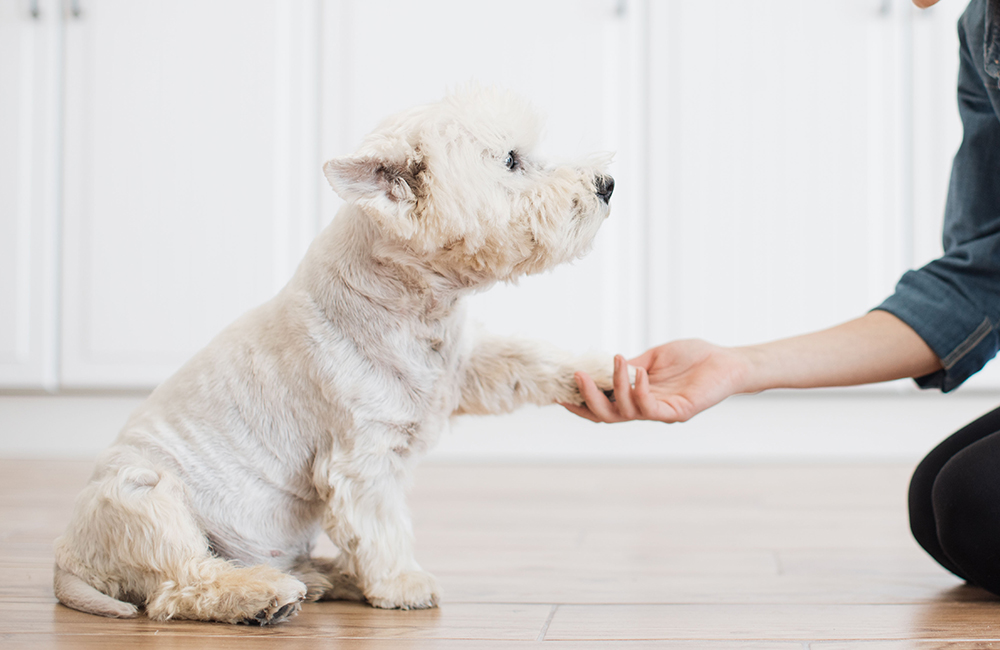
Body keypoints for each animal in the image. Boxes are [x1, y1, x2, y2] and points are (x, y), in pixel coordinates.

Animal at [54, 87, 620, 624]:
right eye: (510, 160)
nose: (607, 184)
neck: (415, 305)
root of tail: (69, 561)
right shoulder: (361, 455)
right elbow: (380, 524)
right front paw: (403, 583)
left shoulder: (465, 368)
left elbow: (525, 360)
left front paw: (602, 376)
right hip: (143, 496)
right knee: (181, 584)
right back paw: (265, 595)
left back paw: (325, 577)